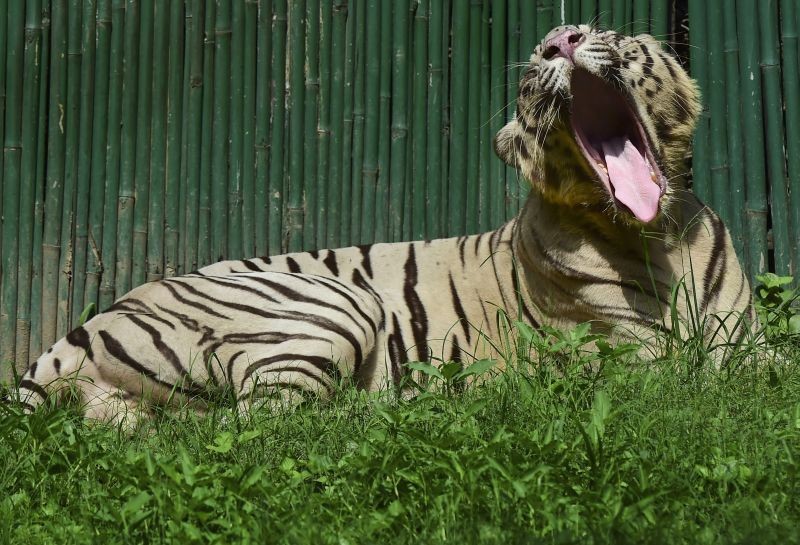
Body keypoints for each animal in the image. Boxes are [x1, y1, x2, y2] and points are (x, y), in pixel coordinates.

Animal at [14, 25, 753, 425]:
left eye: (607, 35)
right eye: (535, 64)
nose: (558, 42)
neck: (655, 236)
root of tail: (90, 323)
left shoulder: (750, 348)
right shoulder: (634, 364)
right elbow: (701, 394)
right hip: (333, 304)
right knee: (271, 428)